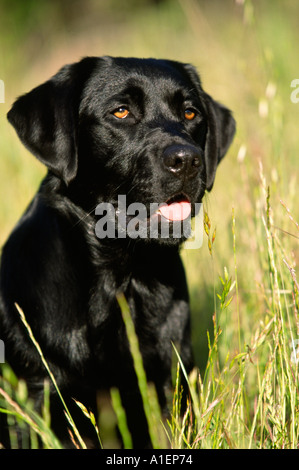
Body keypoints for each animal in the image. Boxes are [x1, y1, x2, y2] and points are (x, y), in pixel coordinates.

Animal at [0, 56, 237, 448]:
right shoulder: (39, 395)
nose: (187, 160)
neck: (123, 280)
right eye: (121, 111)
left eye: (190, 113)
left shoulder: (172, 385)